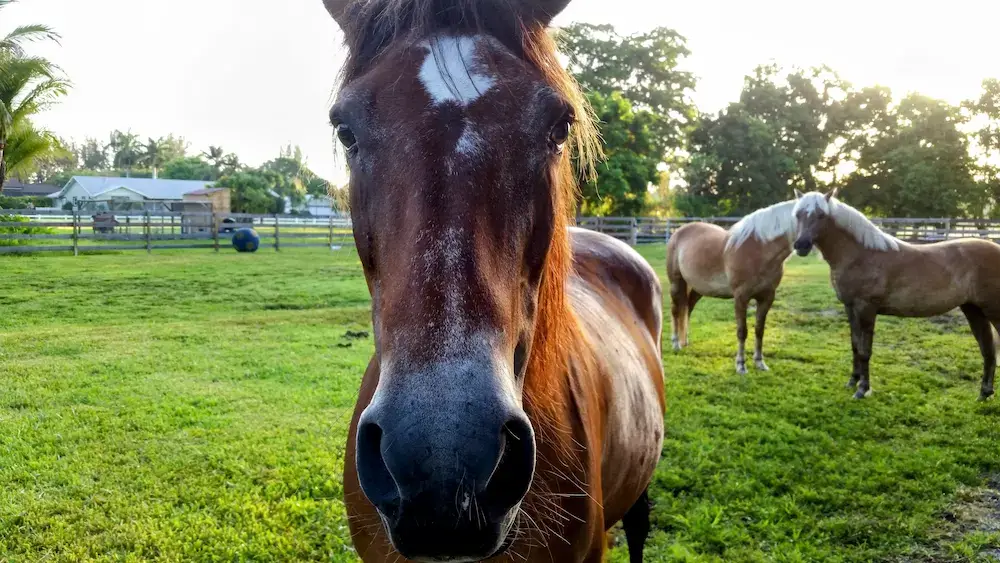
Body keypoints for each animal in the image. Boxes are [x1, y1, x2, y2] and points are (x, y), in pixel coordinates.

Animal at [666, 200, 797, 374]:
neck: (760, 250)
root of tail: (677, 233)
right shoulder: (741, 297)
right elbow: (742, 331)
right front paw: (741, 366)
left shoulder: (767, 297)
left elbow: (759, 330)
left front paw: (760, 363)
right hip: (676, 284)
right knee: (675, 311)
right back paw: (676, 343)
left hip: (697, 289)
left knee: (687, 308)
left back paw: (684, 341)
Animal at [792, 188, 1000, 401]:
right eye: (798, 214)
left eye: (821, 215)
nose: (801, 245)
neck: (860, 254)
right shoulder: (850, 308)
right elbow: (855, 346)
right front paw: (852, 381)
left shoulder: (866, 309)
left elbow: (865, 350)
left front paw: (862, 389)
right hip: (974, 310)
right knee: (988, 351)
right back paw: (984, 394)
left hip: (992, 311)